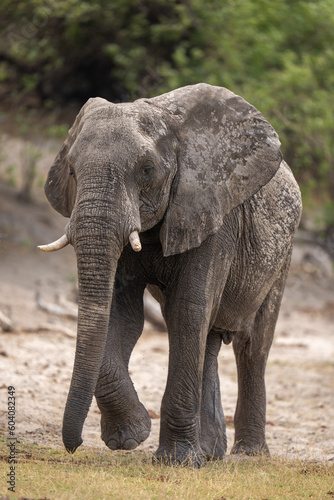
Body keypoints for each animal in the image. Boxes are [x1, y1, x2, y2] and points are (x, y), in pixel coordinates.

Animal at [39, 84, 302, 466]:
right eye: (72, 171)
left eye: (147, 169)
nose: (74, 446)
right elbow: (123, 314)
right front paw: (131, 437)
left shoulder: (212, 211)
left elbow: (187, 312)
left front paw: (175, 461)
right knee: (209, 340)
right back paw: (209, 453)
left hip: (283, 252)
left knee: (253, 345)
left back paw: (248, 455)